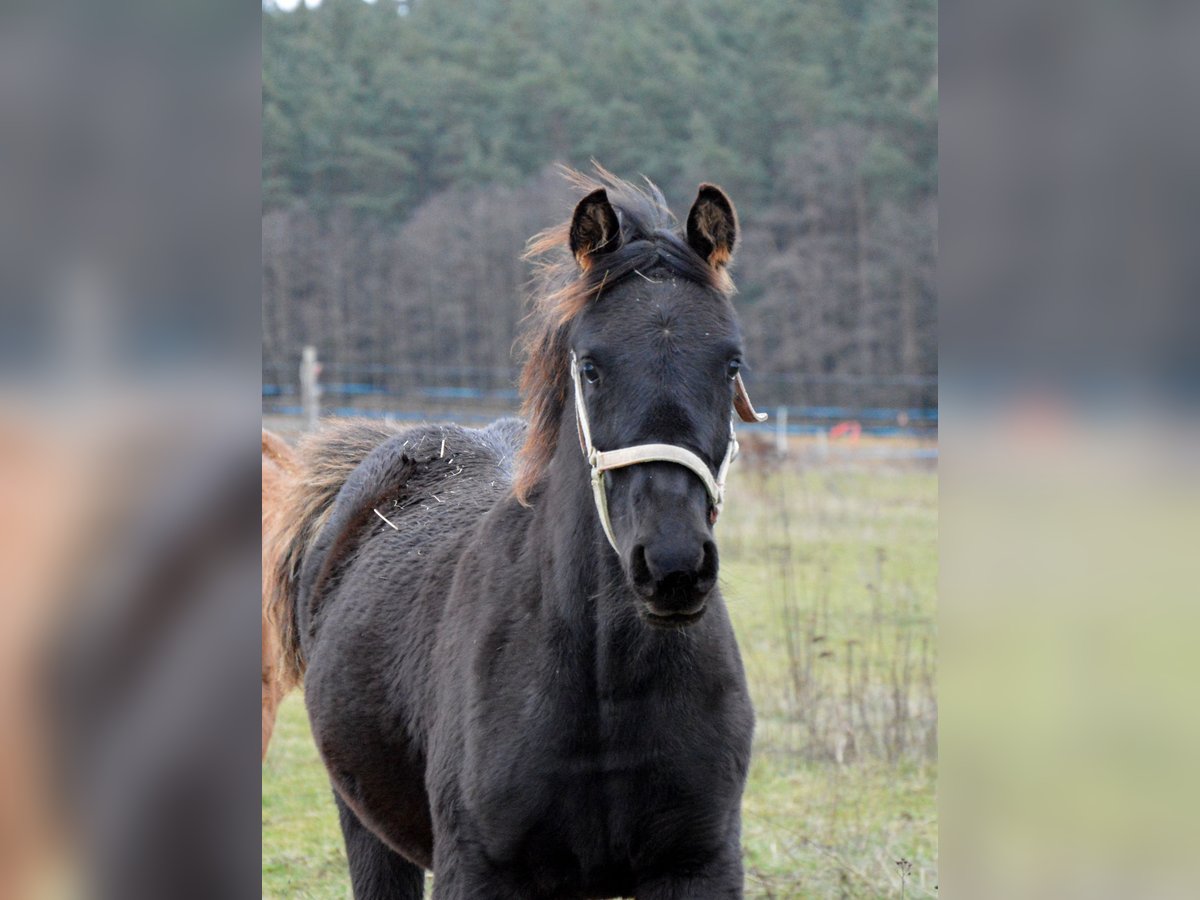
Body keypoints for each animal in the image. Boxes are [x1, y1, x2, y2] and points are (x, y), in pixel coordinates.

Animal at [267, 170, 758, 900]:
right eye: (591, 366)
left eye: (730, 364)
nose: (672, 565)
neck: (606, 683)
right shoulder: (479, 870)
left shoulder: (699, 865)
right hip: (365, 825)